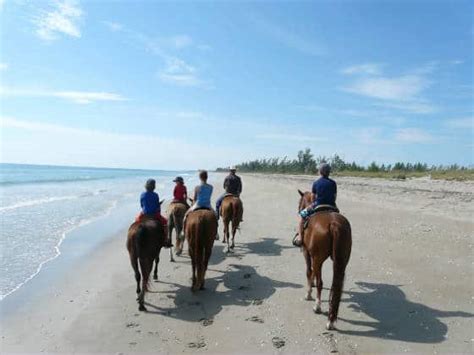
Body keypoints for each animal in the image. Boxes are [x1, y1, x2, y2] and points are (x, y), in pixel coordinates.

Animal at [298, 191, 350, 332]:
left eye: (299, 203)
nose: (298, 210)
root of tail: (334, 224)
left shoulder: (306, 252)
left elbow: (309, 271)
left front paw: (309, 293)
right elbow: (313, 273)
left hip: (317, 258)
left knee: (320, 281)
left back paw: (317, 306)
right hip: (342, 262)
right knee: (336, 287)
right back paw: (331, 320)